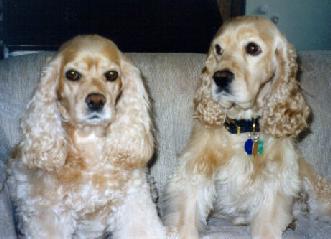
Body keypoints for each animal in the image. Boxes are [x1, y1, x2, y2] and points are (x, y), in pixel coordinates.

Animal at [7, 34, 169, 238]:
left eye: (111, 75)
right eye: (72, 74)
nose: (96, 101)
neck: (90, 141)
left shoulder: (133, 201)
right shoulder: (49, 214)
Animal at [164, 15, 331, 238]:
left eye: (252, 48)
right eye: (218, 49)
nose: (219, 77)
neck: (243, 129)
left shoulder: (275, 183)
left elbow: (266, 226)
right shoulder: (194, 171)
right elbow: (186, 218)